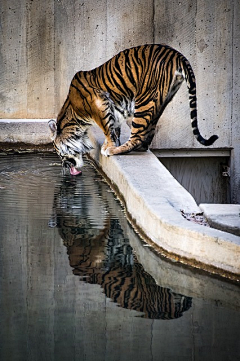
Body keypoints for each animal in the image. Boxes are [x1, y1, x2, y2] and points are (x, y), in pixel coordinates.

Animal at [48, 43, 218, 175]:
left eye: (58, 151)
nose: (64, 166)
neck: (75, 119)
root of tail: (176, 54)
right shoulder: (112, 109)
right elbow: (113, 127)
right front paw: (112, 142)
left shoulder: (99, 103)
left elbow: (106, 128)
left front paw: (108, 147)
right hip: (161, 101)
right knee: (147, 134)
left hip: (145, 100)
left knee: (137, 136)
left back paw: (116, 151)